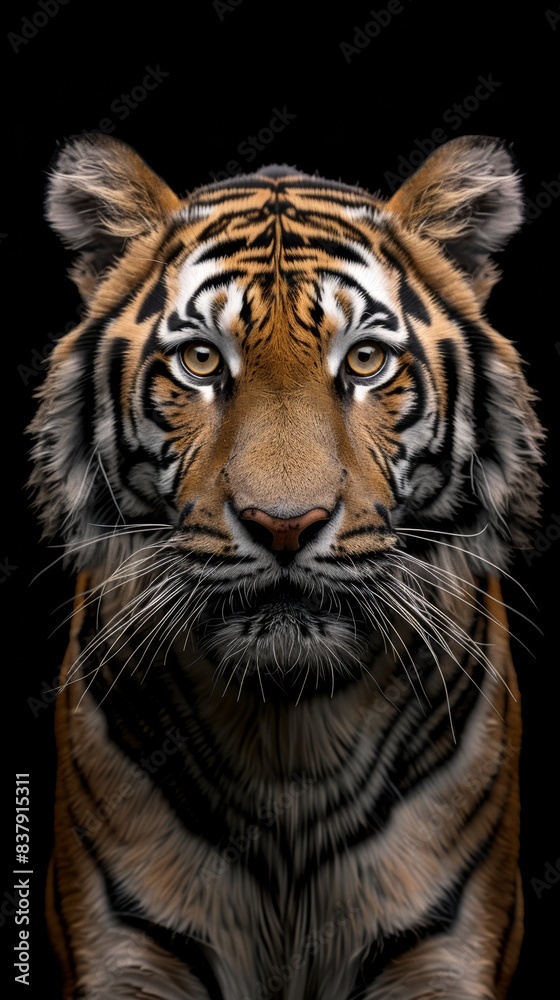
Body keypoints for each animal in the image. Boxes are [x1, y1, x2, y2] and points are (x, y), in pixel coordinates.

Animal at [29, 132, 543, 1000]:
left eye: (364, 360)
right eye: (203, 362)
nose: (284, 525)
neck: (289, 736)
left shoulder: (442, 956)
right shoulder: (128, 956)